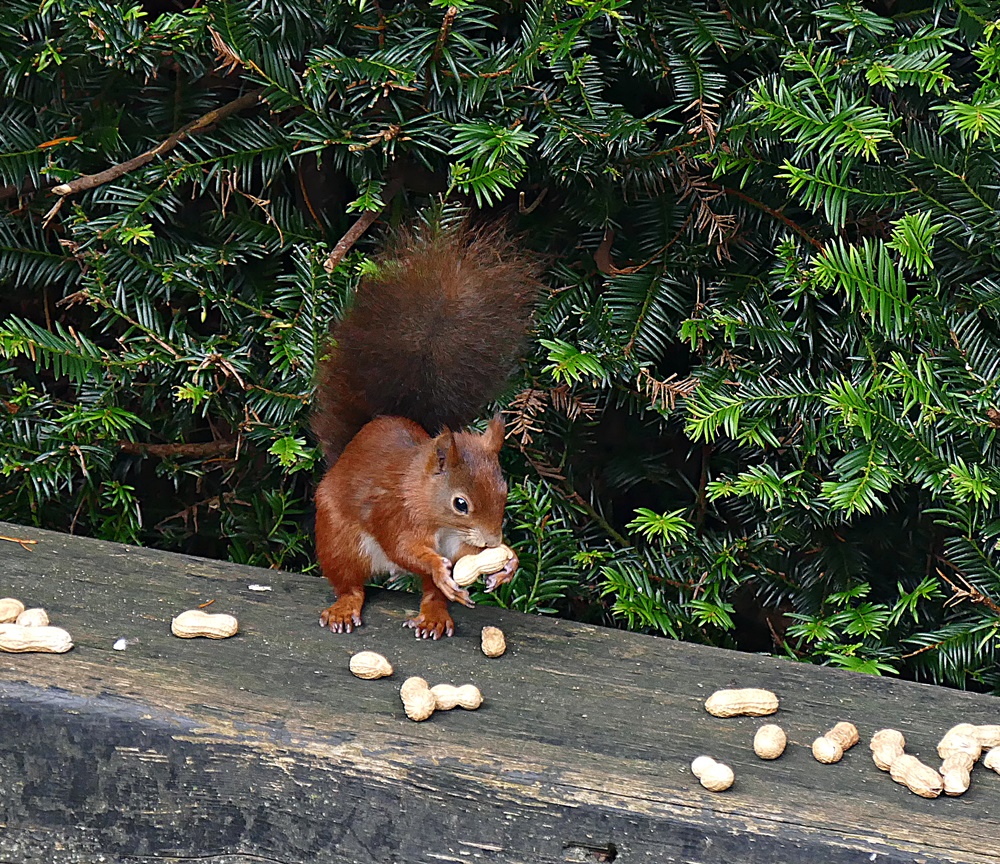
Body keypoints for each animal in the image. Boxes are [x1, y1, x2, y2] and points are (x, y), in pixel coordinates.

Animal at [312, 226, 544, 636]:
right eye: (460, 503)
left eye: (505, 492)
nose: (493, 540)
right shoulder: (395, 512)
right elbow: (405, 547)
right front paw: (438, 564)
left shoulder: (458, 542)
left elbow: (466, 555)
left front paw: (507, 563)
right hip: (339, 540)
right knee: (349, 582)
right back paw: (345, 606)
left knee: (429, 592)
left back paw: (434, 614)